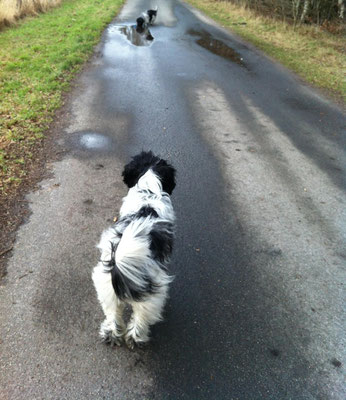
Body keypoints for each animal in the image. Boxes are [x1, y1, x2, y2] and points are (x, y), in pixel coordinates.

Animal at [92, 152, 176, 348]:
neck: (148, 192)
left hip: (106, 291)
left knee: (113, 316)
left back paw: (111, 335)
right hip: (151, 299)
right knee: (140, 321)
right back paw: (136, 339)